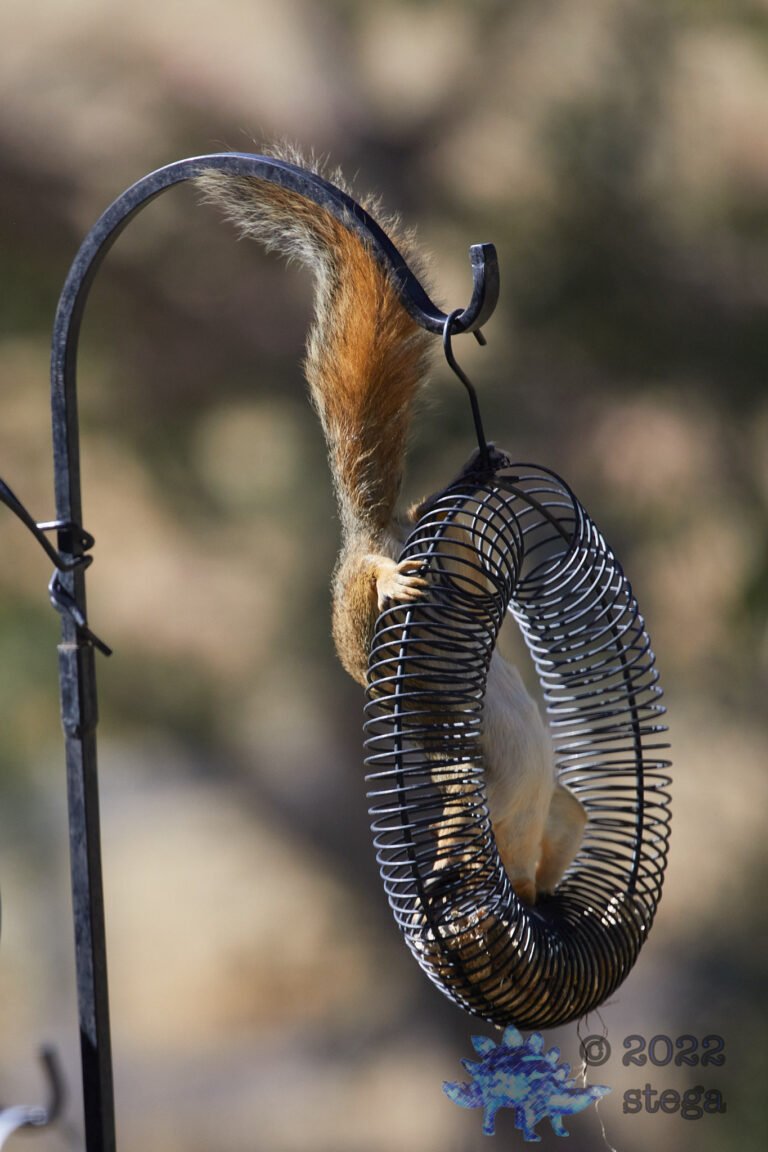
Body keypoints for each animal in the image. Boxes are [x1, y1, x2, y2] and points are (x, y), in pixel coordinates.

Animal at [197, 148, 586, 905]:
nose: (531, 896)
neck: (523, 832)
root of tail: (370, 536)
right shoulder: (468, 786)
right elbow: (456, 822)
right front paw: (444, 871)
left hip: (448, 552)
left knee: (434, 515)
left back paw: (471, 469)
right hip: (362, 604)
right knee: (369, 582)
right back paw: (392, 578)